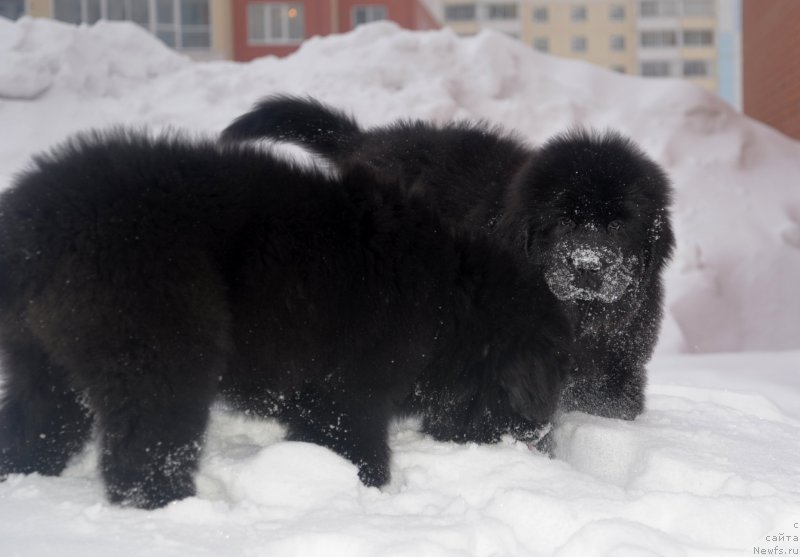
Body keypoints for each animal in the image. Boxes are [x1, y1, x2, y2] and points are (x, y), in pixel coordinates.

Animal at [1, 129, 576, 508]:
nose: (542, 444)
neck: (449, 302)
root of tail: (33, 230)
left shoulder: (314, 396)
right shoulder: (348, 393)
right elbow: (359, 448)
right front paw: (364, 491)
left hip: (45, 361)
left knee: (33, 424)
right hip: (161, 350)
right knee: (143, 452)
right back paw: (176, 508)